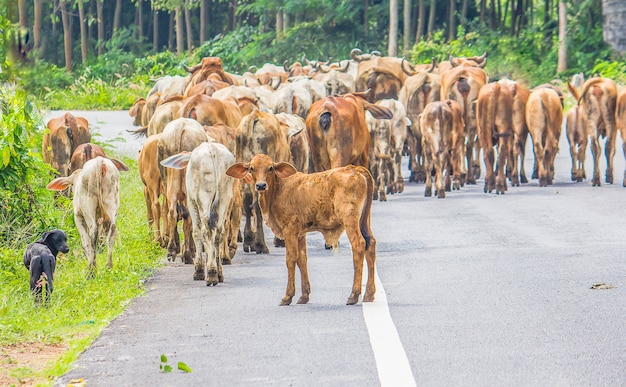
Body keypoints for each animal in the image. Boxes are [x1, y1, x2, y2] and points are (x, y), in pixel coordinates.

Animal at [225, 154, 376, 306]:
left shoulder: (289, 230)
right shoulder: (300, 234)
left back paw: (354, 295)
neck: (278, 188)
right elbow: (302, 259)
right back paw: (369, 294)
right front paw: (304, 296)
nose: (261, 185)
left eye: (271, 168)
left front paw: (288, 296)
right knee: (371, 244)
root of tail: (355, 168)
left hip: (350, 220)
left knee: (359, 245)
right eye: (251, 168)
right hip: (364, 220)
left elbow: (291, 259)